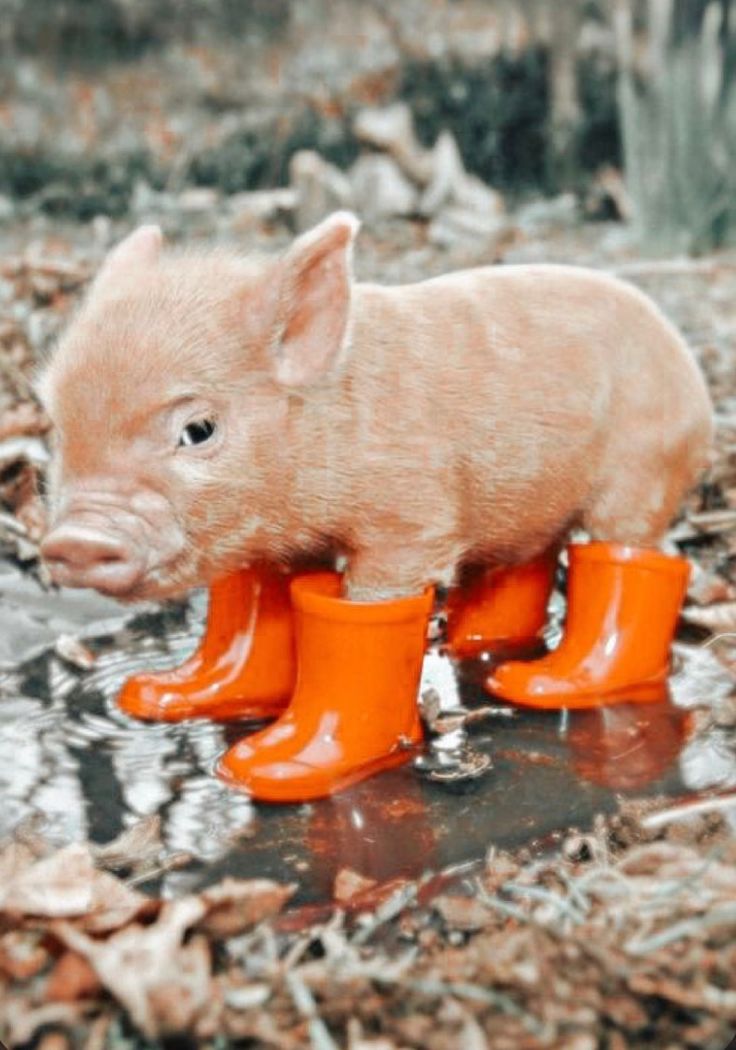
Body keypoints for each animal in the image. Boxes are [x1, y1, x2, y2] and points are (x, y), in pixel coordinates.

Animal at [35, 213, 713, 604]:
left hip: (644, 469)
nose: (75, 541)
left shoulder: (414, 517)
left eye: (198, 429)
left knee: (627, 546)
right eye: (56, 429)